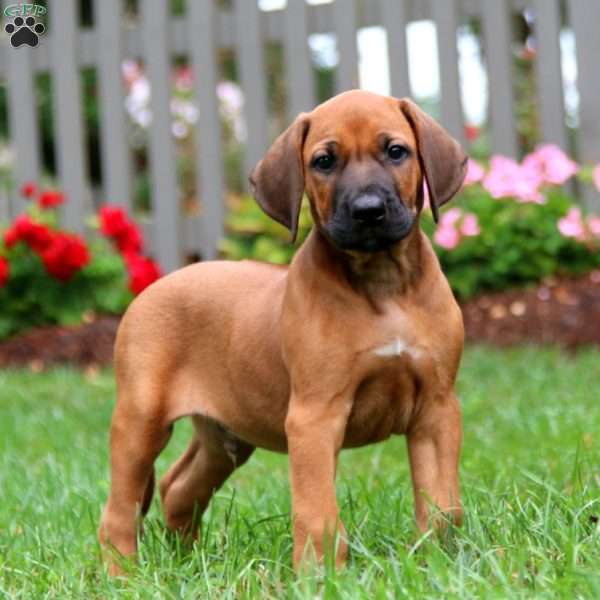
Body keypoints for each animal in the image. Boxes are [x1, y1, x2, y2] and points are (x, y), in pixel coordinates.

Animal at [98, 90, 466, 576]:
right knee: (118, 512)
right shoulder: (314, 417)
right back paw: (123, 577)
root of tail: (153, 286)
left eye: (396, 151)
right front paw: (320, 576)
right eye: (324, 161)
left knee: (179, 487)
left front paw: (440, 564)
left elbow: (443, 503)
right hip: (141, 419)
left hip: (227, 436)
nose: (368, 211)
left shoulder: (436, 409)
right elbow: (317, 511)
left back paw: (187, 565)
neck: (384, 288)